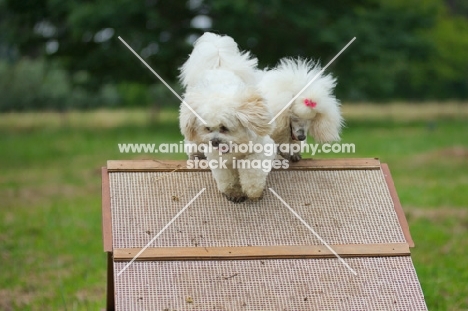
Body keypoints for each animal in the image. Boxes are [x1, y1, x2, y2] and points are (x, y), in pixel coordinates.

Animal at [178, 33, 274, 204]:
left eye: (225, 128)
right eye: (208, 129)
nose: (214, 141)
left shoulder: (261, 148)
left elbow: (252, 169)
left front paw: (253, 191)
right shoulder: (218, 157)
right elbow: (226, 176)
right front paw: (233, 192)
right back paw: (195, 154)